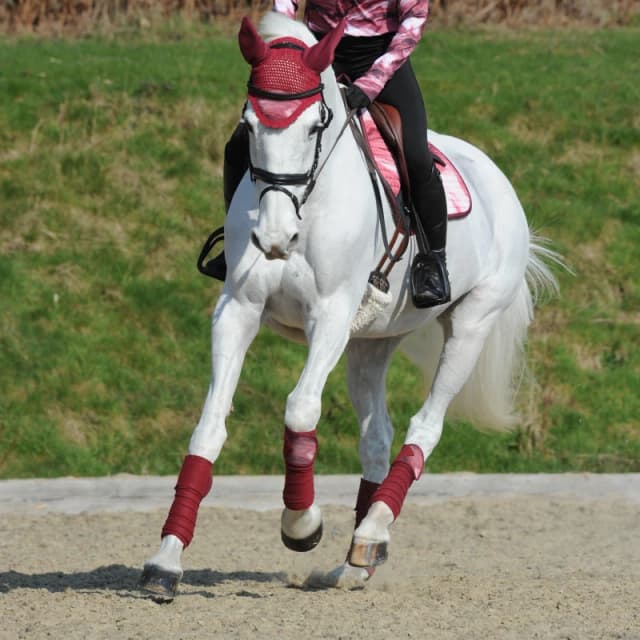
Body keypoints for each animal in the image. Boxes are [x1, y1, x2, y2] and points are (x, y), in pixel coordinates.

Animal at [139, 12, 559, 599]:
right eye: (249, 124)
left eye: (315, 126)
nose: (275, 237)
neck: (307, 204)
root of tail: (497, 178)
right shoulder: (238, 310)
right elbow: (209, 426)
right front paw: (166, 561)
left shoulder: (332, 316)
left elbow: (300, 409)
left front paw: (302, 524)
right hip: (372, 342)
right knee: (377, 436)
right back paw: (360, 557)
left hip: (471, 324)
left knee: (425, 426)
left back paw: (372, 530)